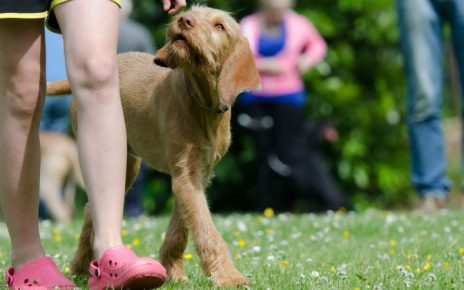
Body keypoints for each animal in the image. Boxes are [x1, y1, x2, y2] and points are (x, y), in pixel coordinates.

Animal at [47, 5, 260, 288]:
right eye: (192, 13)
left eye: (219, 26)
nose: (184, 19)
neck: (201, 102)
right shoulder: (185, 174)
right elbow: (205, 227)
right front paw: (228, 275)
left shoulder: (195, 175)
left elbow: (181, 227)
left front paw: (173, 272)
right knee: (91, 208)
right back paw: (82, 267)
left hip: (126, 164)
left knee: (91, 208)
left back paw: (83, 267)